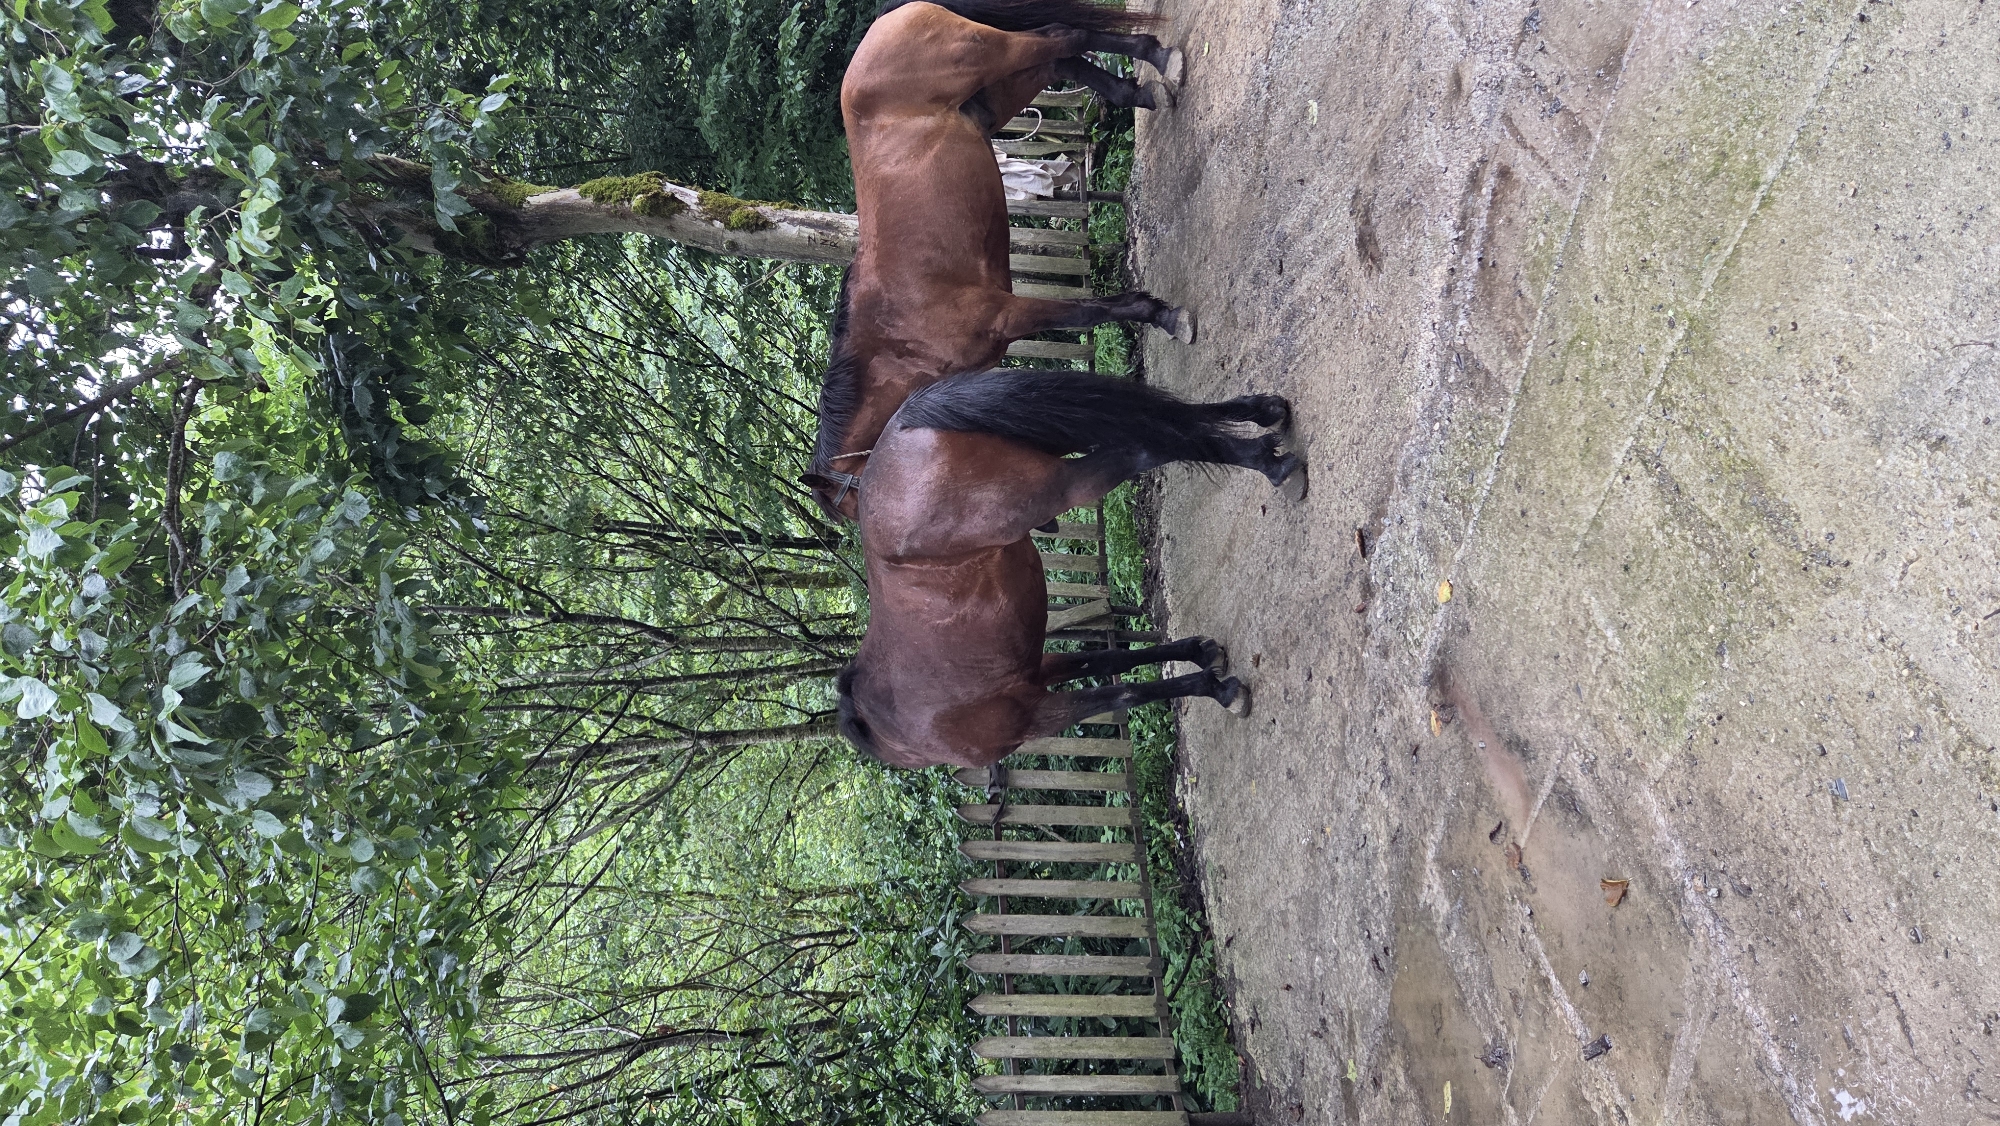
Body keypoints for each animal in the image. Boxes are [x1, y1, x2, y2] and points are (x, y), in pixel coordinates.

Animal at [802, 0, 1194, 520]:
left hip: (990, 55)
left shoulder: (1008, 313)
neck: (896, 341)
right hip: (999, 90)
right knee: (1061, 60)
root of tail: (887, 21)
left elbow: (1086, 312)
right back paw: (1146, 84)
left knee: (1061, 36)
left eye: (861, 503)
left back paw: (1156, 61)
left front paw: (1162, 315)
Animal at [834, 368, 1304, 770]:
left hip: (1055, 482)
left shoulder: (1035, 714)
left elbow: (1122, 692)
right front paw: (1201, 659)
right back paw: (1265, 421)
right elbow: (1114, 660)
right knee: (1153, 423)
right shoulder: (1038, 673)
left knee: (1145, 444)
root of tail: (897, 429)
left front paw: (1217, 689)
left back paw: (1269, 459)